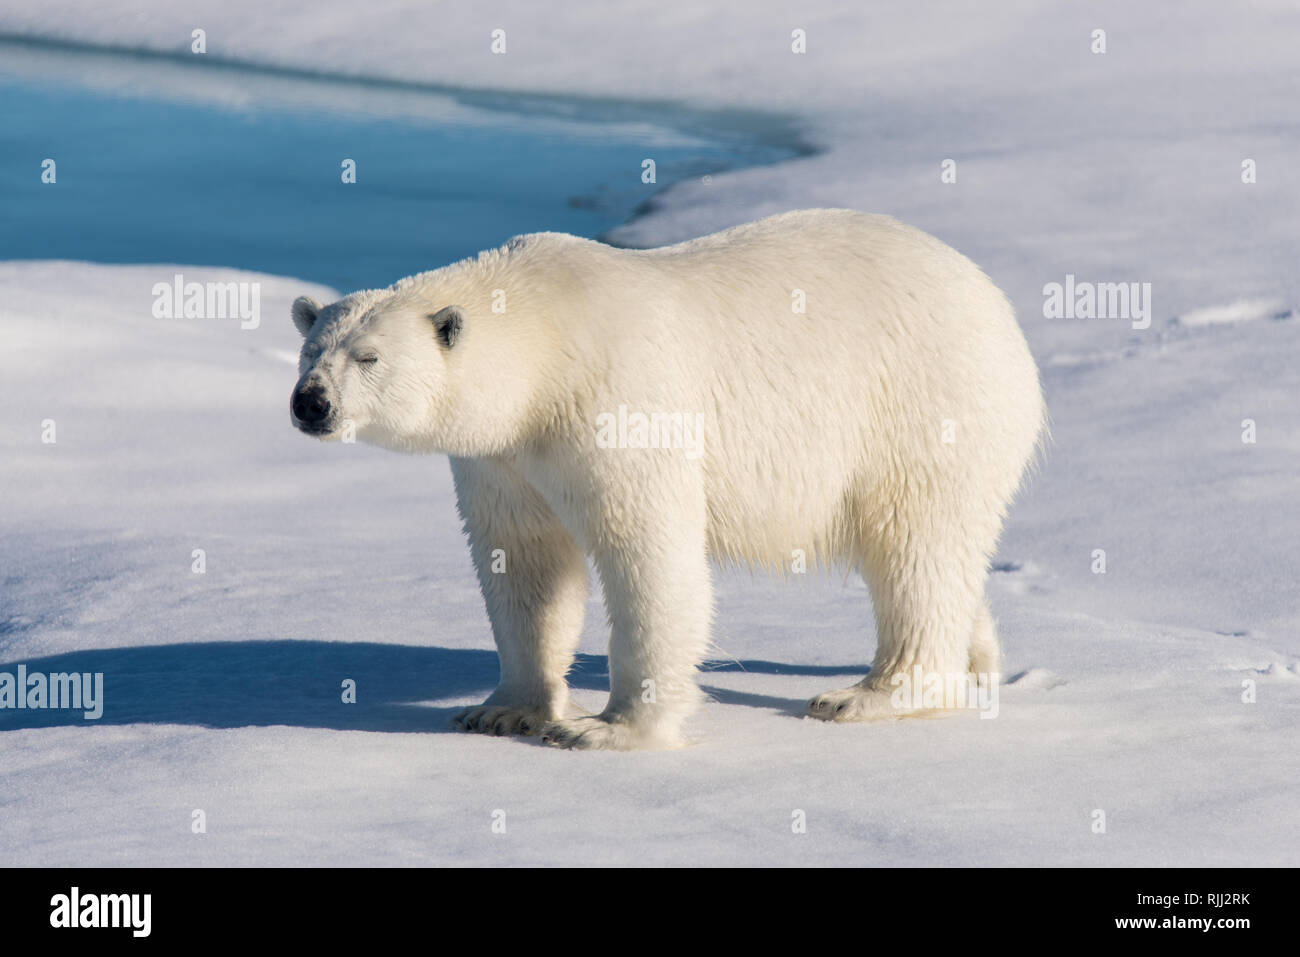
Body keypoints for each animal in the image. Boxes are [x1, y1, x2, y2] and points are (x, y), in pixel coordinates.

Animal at [287, 208, 1045, 748]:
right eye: (311, 348)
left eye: (369, 356)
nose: (310, 403)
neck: (546, 341)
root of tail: (999, 310)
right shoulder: (504, 455)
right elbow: (524, 561)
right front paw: (503, 711)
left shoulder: (616, 402)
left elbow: (647, 554)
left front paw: (606, 728)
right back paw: (980, 662)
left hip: (923, 405)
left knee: (914, 543)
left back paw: (867, 694)